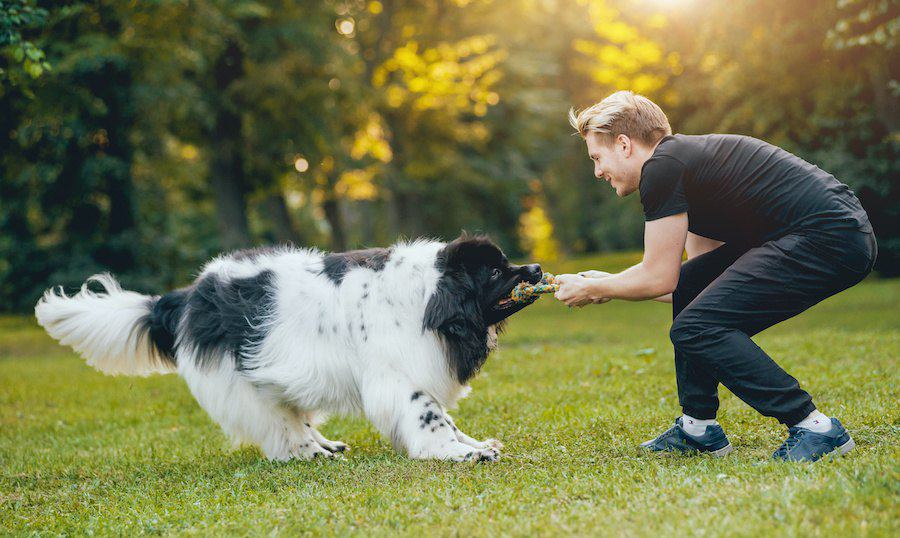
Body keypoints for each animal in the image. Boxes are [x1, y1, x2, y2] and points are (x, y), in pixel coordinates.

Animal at [33, 234, 540, 460]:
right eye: (495, 272)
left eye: (506, 261)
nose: (535, 268)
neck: (430, 294)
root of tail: (187, 296)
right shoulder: (398, 377)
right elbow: (430, 417)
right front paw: (458, 453)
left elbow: (446, 419)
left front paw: (472, 443)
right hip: (241, 382)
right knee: (279, 427)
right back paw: (309, 453)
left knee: (293, 414)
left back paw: (325, 444)